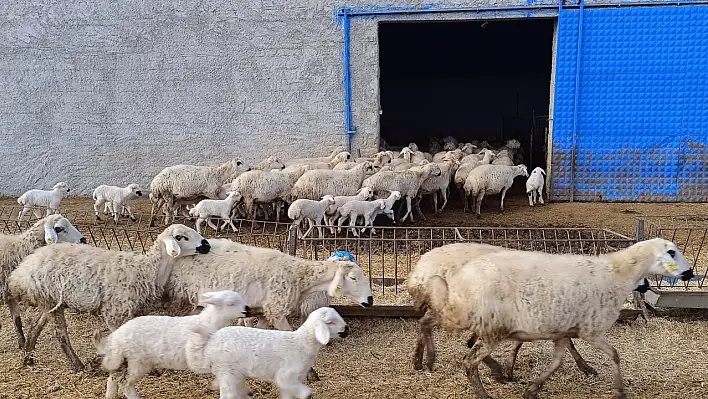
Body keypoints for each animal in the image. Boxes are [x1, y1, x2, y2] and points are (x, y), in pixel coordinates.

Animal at [0, 216, 86, 350]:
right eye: (59, 228)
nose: (83, 240)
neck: (17, 251)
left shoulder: (9, 293)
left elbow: (17, 321)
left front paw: (22, 345)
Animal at [7, 225, 213, 372]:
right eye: (180, 237)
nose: (206, 245)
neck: (147, 269)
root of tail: (21, 271)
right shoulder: (115, 311)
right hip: (49, 298)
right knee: (60, 333)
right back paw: (77, 365)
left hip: (50, 301)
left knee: (36, 325)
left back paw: (28, 357)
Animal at [95, 290, 248, 399]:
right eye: (231, 303)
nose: (247, 308)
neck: (209, 322)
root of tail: (117, 336)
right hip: (137, 361)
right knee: (125, 383)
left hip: (122, 358)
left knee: (113, 378)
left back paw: (109, 396)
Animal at [183, 308, 348, 399]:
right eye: (330, 322)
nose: (346, 329)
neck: (302, 343)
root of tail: (210, 344)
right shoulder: (286, 376)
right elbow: (306, 393)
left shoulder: (292, 381)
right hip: (226, 369)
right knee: (228, 395)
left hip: (232, 372)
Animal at [424, 238, 696, 399]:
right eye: (671, 252)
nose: (690, 272)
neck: (618, 274)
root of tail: (463, 275)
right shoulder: (591, 330)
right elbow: (615, 354)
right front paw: (619, 390)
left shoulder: (563, 332)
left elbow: (557, 362)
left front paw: (533, 388)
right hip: (488, 326)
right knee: (468, 359)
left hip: (474, 319)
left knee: (442, 327)